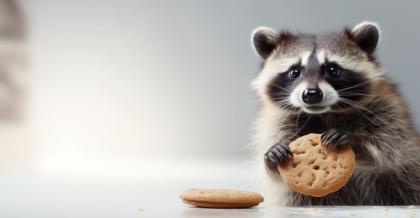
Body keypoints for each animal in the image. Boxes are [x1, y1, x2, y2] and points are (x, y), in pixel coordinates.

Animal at [251, 21, 418, 205]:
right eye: (294, 72)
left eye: (332, 69)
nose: (311, 94)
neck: (325, 112)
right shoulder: (277, 120)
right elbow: (277, 175)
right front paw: (271, 159)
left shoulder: (385, 108)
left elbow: (393, 150)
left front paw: (356, 143)